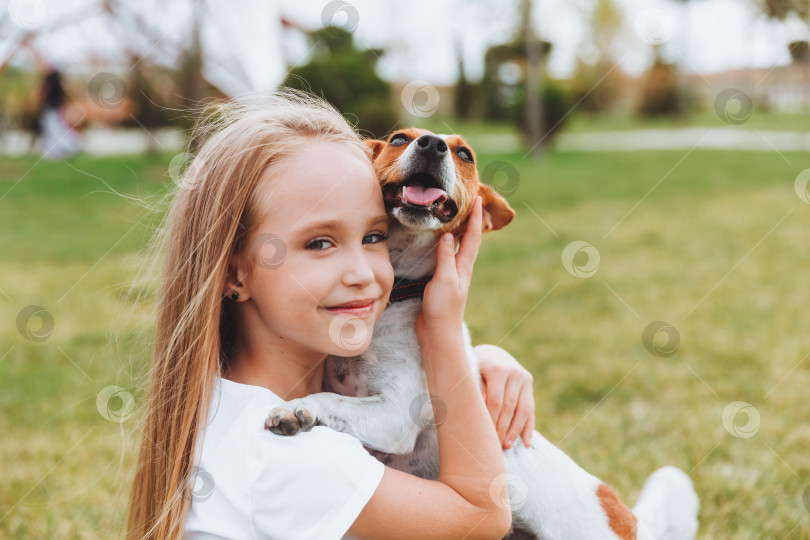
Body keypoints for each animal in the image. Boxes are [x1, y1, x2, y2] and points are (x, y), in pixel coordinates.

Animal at [264, 129, 696, 536]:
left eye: (464, 154)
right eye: (399, 138)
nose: (432, 143)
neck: (394, 296)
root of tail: (629, 518)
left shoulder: (395, 416)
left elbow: (331, 400)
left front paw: (296, 408)